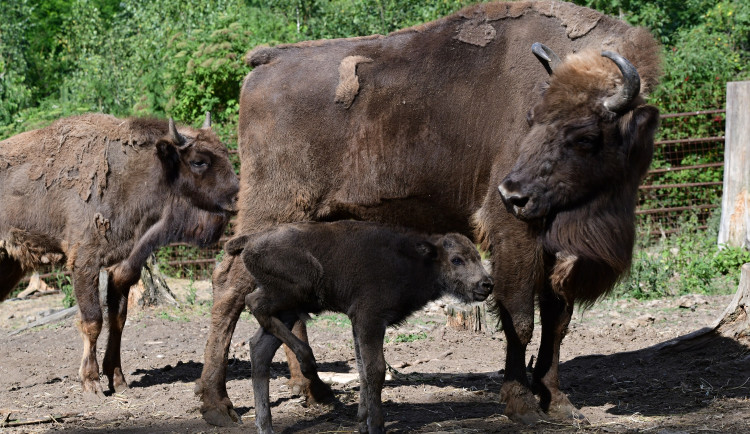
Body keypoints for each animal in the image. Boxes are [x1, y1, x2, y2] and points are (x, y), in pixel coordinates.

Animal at [0, 113, 239, 398]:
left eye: (224, 151)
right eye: (199, 161)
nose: (237, 197)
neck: (131, 175)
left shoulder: (123, 267)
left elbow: (118, 320)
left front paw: (118, 379)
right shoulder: (85, 263)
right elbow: (93, 320)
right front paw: (91, 382)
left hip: (9, 264)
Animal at [223, 222, 494, 434]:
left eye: (477, 257)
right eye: (456, 259)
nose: (486, 284)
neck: (417, 260)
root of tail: (252, 240)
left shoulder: (358, 322)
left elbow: (363, 369)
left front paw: (363, 422)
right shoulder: (370, 319)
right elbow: (375, 370)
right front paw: (377, 425)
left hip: (289, 309)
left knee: (260, 348)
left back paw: (266, 425)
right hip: (296, 290)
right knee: (253, 303)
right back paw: (307, 361)